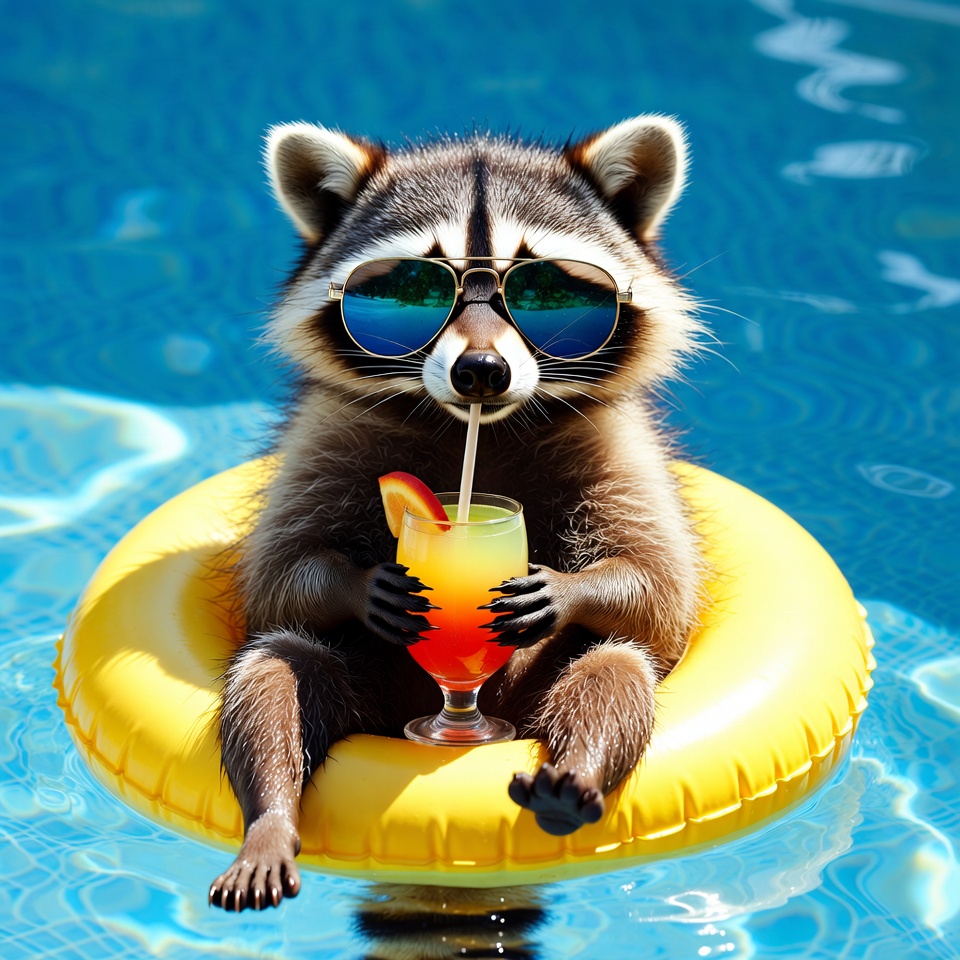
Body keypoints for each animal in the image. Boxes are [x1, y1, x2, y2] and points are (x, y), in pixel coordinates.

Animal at [208, 116, 705, 911]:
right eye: (409, 285)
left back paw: (576, 772)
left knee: (614, 668)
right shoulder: (328, 432)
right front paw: (360, 584)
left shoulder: (618, 443)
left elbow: (661, 590)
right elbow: (277, 577)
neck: (477, 427)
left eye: (545, 285)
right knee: (278, 666)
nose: (480, 371)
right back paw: (270, 814)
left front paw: (572, 588)